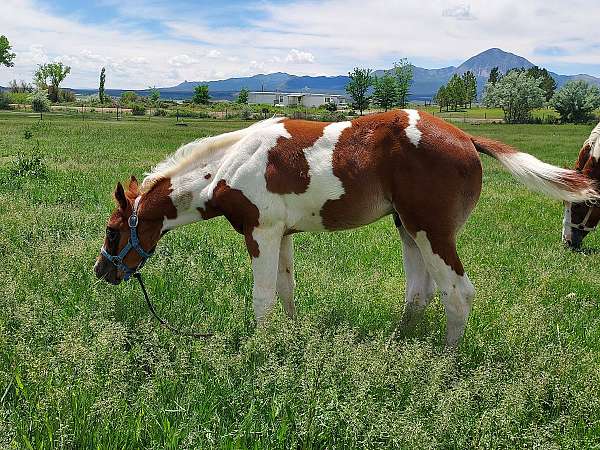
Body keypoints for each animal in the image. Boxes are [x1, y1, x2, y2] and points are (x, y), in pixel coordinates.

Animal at [96, 110, 596, 346]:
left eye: (112, 231)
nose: (102, 271)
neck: (228, 165)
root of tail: (466, 138)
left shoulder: (261, 233)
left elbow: (262, 298)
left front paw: (259, 349)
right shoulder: (282, 235)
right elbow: (286, 291)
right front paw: (291, 339)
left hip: (432, 232)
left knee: (457, 294)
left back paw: (447, 366)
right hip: (407, 228)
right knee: (420, 293)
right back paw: (398, 345)